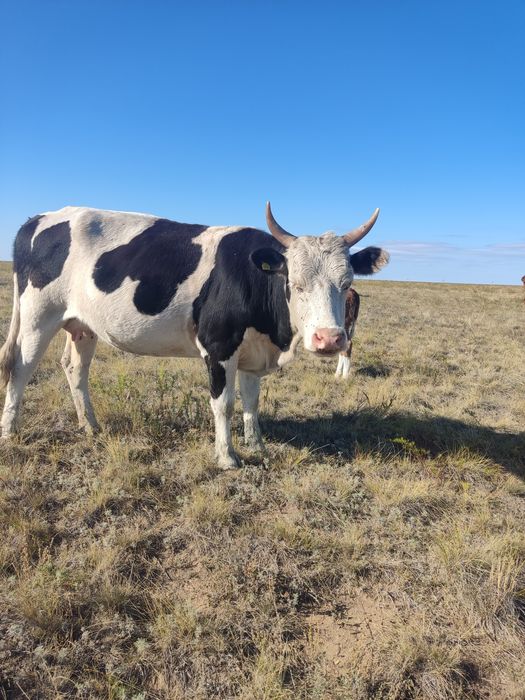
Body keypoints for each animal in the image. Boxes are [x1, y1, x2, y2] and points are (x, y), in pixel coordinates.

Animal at [0, 203, 388, 469]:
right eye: (295, 283)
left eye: (346, 283)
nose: (330, 339)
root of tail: (38, 218)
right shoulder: (218, 346)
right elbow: (224, 403)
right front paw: (227, 457)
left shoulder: (252, 352)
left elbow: (251, 403)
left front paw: (257, 446)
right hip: (38, 316)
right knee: (21, 368)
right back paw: (9, 430)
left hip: (82, 325)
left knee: (74, 369)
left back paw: (91, 426)